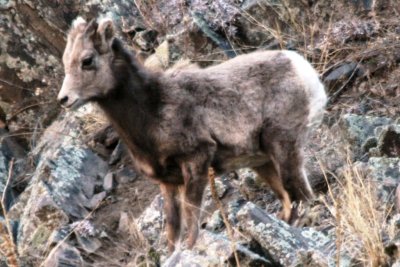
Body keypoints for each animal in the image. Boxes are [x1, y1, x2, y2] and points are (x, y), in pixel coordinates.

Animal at [58, 17, 328, 253]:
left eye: (87, 60)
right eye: (66, 61)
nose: (64, 99)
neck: (153, 110)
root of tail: (302, 68)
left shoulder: (196, 160)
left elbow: (191, 222)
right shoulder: (168, 183)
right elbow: (172, 230)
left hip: (284, 148)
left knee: (302, 196)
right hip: (263, 162)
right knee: (288, 203)